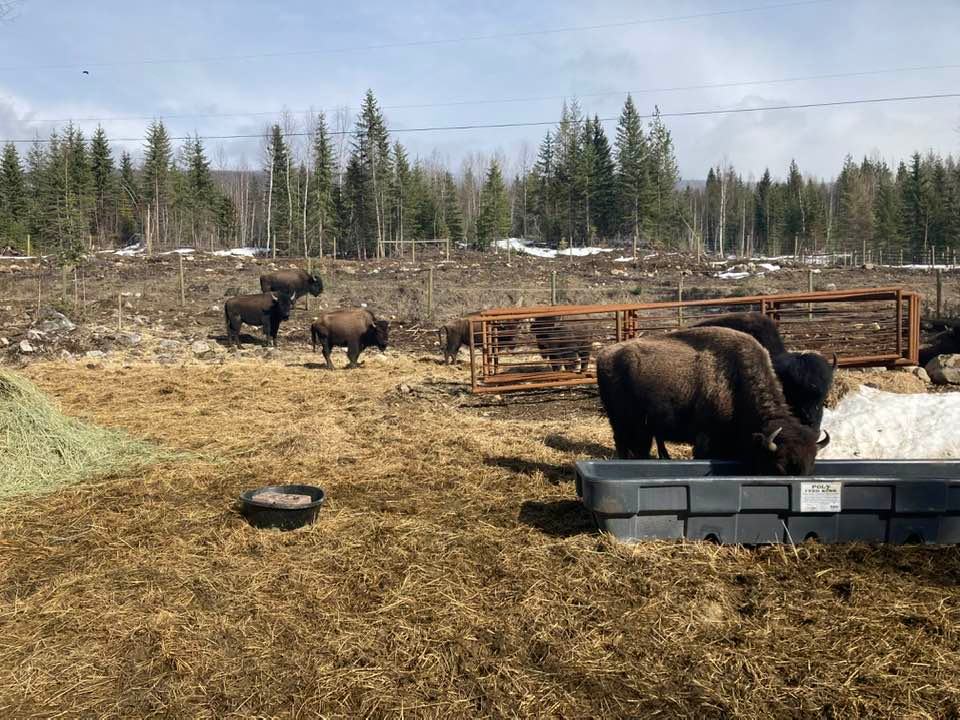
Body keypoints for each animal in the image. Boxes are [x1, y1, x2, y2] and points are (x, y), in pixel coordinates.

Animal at [596, 326, 829, 475]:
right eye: (779, 467)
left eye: (811, 467)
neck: (736, 380)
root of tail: (604, 354)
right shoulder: (705, 439)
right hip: (623, 423)